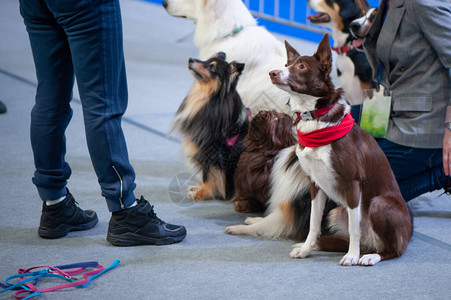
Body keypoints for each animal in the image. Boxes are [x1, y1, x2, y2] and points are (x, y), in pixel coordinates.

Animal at [228, 34, 414, 266]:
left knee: (393, 249)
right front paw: (305, 250)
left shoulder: (353, 184)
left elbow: (353, 228)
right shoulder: (315, 184)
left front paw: (351, 256)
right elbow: (313, 224)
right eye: (287, 65)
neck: (314, 119)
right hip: (336, 212)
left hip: (379, 204)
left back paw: (368, 256)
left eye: (302, 66)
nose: (272, 73)